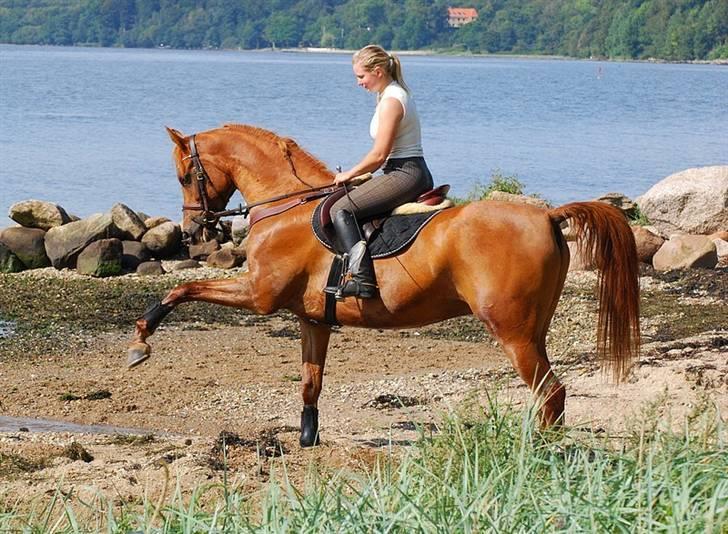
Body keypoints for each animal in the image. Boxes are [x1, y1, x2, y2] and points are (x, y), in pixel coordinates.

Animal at [128, 125, 640, 448]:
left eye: (184, 175)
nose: (192, 230)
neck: (286, 207)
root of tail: (547, 215)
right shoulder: (312, 319)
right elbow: (310, 383)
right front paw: (307, 438)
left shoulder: (259, 295)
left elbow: (181, 291)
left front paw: (140, 340)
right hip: (533, 330)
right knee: (552, 394)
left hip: (512, 330)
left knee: (550, 394)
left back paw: (537, 453)